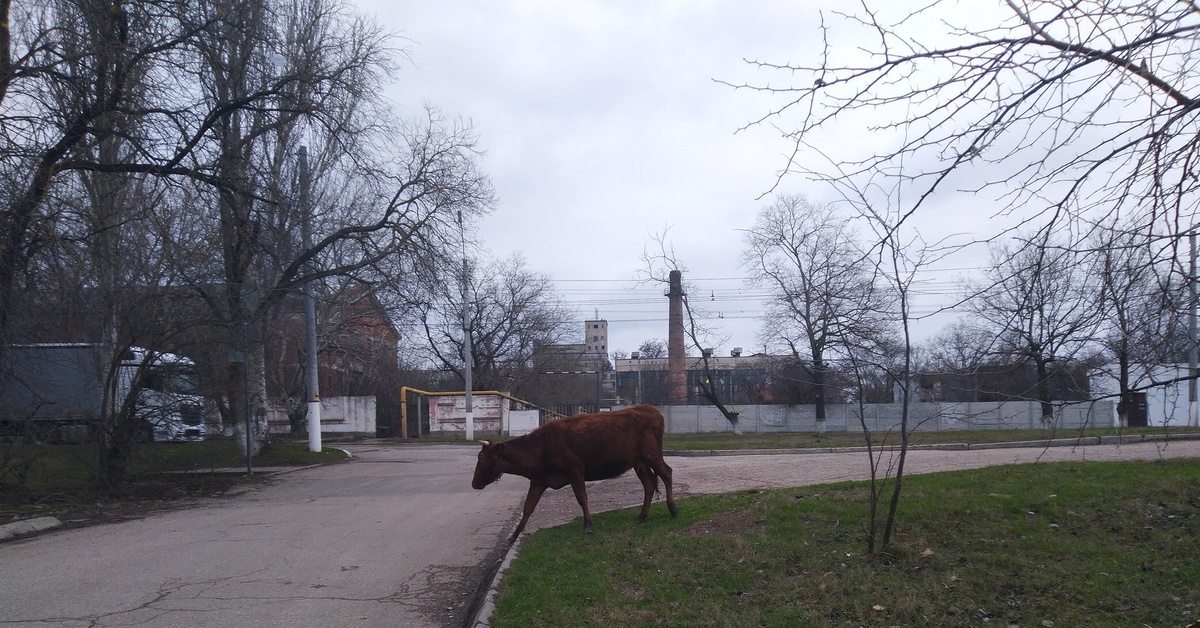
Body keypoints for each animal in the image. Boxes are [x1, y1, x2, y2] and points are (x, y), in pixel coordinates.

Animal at [468, 405, 676, 542]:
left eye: (481, 458)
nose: (474, 483)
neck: (541, 447)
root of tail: (650, 409)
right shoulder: (538, 481)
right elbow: (528, 508)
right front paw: (514, 535)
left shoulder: (575, 471)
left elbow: (582, 498)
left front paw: (588, 525)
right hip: (639, 463)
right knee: (649, 484)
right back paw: (642, 516)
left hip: (652, 456)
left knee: (667, 473)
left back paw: (673, 509)